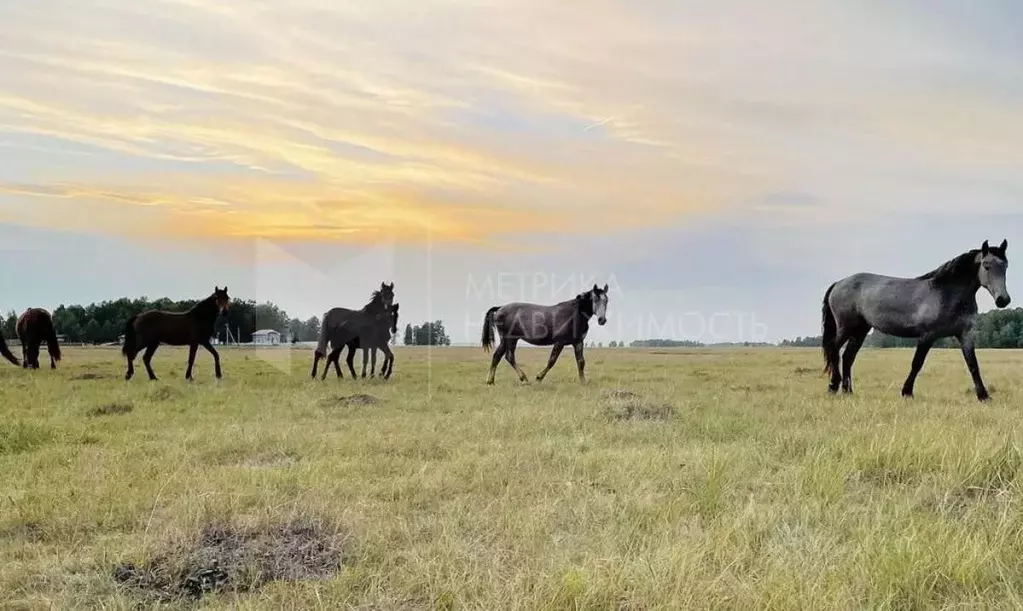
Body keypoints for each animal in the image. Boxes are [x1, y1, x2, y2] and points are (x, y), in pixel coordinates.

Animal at [818, 238, 1010, 401]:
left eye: (1005, 266)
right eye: (986, 265)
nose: (1003, 300)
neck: (946, 293)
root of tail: (839, 283)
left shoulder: (965, 334)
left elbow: (973, 364)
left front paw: (984, 396)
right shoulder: (927, 335)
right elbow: (917, 363)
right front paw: (907, 392)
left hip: (860, 331)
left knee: (848, 357)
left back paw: (847, 391)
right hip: (845, 328)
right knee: (834, 350)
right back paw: (833, 386)